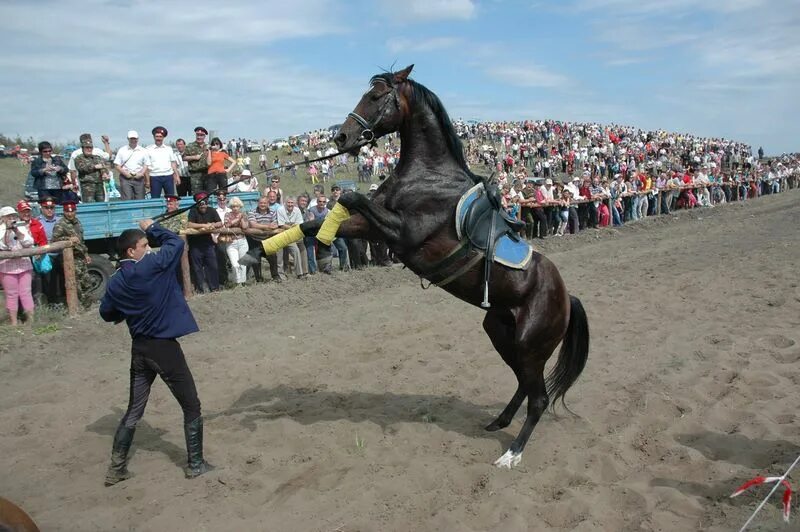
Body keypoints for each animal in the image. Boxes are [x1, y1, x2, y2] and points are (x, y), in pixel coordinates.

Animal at [262, 64, 588, 468]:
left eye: (374, 97)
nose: (342, 136)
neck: (428, 176)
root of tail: (566, 297)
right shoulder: (375, 228)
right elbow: (317, 222)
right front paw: (267, 245)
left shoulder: (402, 233)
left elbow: (351, 196)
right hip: (501, 332)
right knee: (524, 386)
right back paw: (498, 421)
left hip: (530, 344)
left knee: (538, 397)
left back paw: (511, 454)